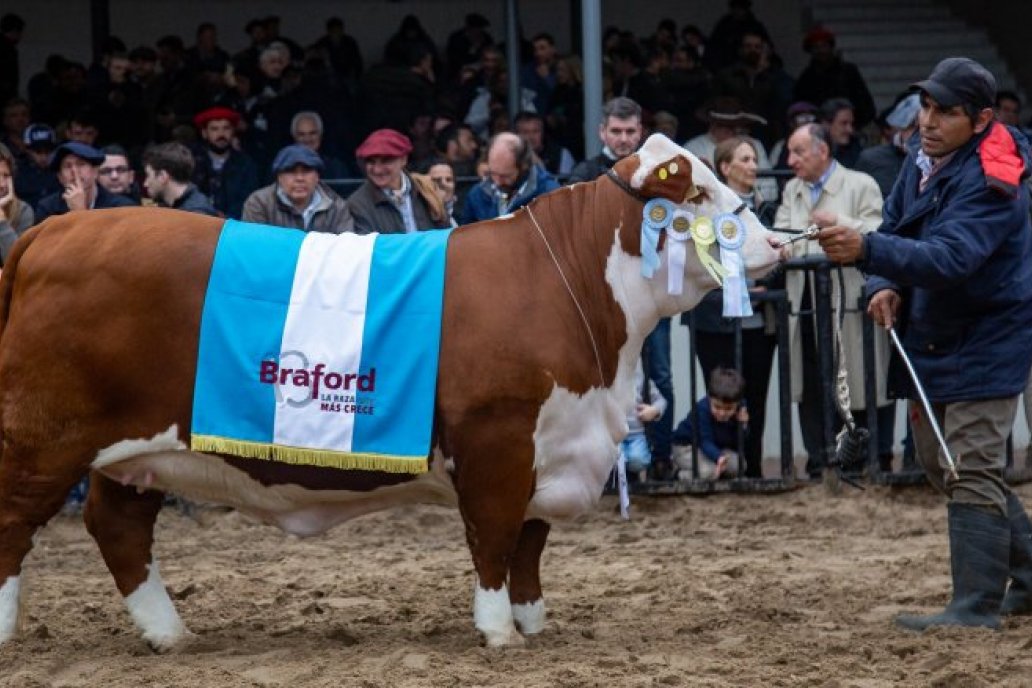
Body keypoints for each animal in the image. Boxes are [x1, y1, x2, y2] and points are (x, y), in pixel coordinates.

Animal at [0, 134, 776, 651]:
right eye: (697, 195)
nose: (772, 243)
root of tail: (58, 228)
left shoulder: (551, 444)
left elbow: (530, 543)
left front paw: (531, 621)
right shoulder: (496, 441)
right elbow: (495, 536)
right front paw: (499, 632)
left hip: (134, 449)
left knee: (119, 527)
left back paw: (170, 633)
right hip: (42, 437)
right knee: (16, 523)